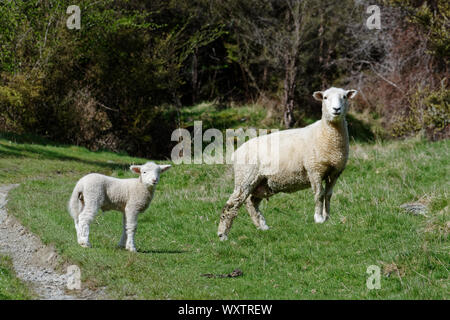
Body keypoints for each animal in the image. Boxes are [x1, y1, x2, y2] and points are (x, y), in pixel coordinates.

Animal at [216, 87, 356, 240]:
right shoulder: (314, 169)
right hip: (245, 176)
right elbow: (319, 194)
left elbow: (328, 195)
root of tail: (237, 151)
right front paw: (318, 218)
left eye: (344, 97)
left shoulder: (335, 171)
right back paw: (222, 234)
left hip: (260, 182)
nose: (336, 109)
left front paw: (327, 217)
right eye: (325, 97)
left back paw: (262, 226)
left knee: (251, 202)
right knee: (232, 204)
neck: (326, 134)